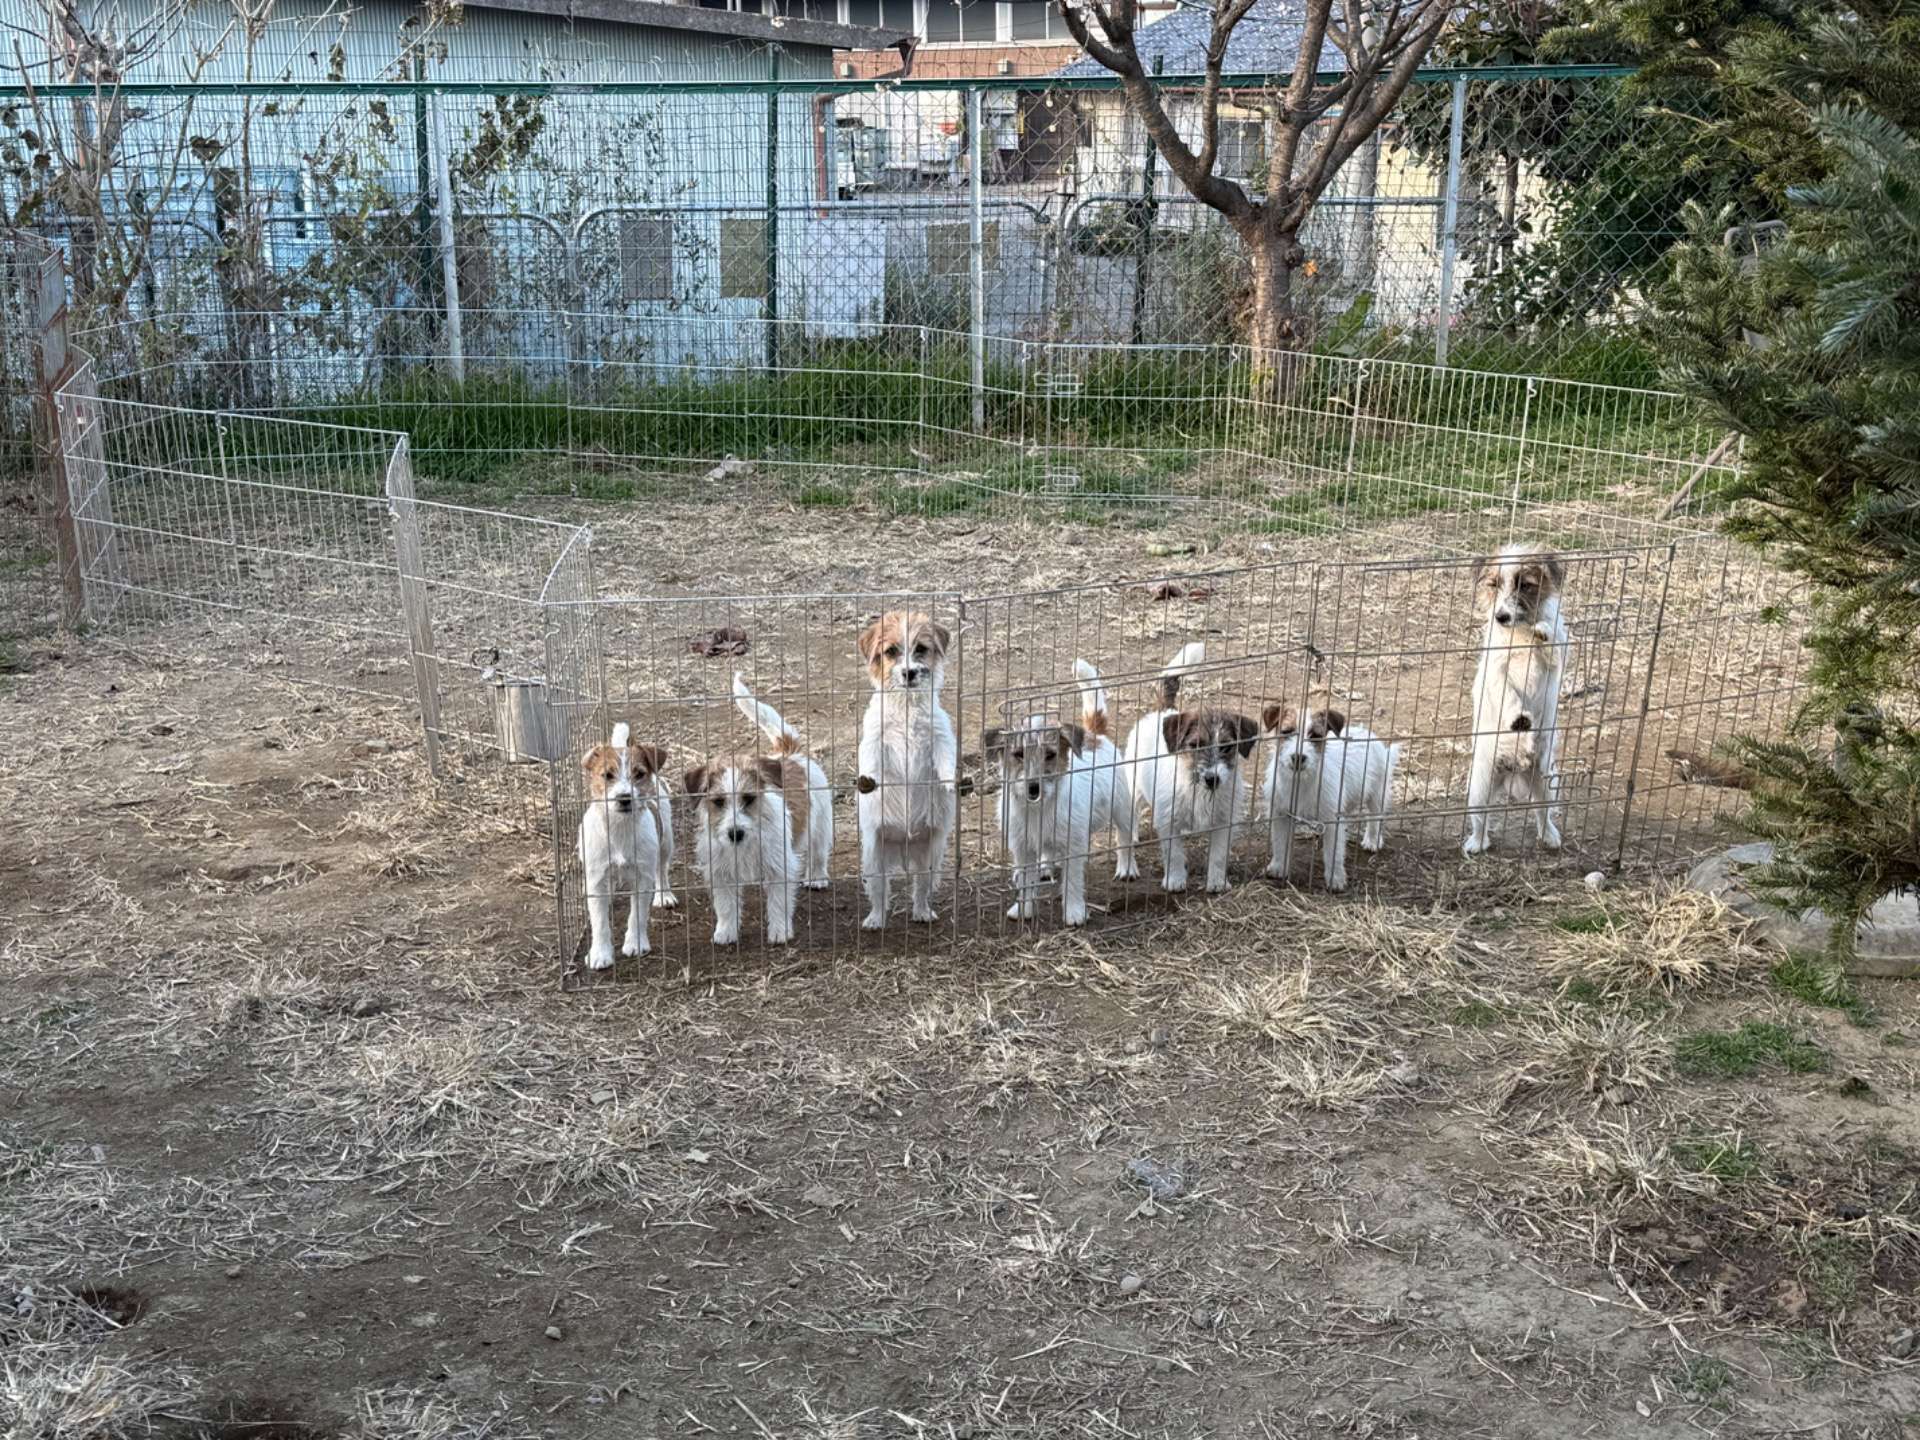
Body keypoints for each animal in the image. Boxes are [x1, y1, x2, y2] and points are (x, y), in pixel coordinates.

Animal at [576, 725, 675, 975]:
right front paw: (600, 954)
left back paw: (664, 894)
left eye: (639, 774)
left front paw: (635, 944)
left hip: (666, 842)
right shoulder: (596, 879)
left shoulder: (642, 877)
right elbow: (600, 922)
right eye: (607, 775)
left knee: (662, 869)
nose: (624, 798)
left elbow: (637, 915)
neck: (619, 828)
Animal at [860, 610, 960, 929]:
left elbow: (945, 762)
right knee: (880, 892)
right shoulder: (875, 741)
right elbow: (872, 763)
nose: (909, 673)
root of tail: (904, 844)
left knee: (921, 887)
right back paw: (875, 919)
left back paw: (921, 912)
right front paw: (867, 781)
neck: (905, 708)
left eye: (921, 649)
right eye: (891, 651)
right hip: (875, 858)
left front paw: (952, 782)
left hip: (929, 857)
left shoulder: (939, 738)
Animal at [1121, 641, 1251, 890]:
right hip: (1133, 787)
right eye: (1195, 745)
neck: (1197, 789)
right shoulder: (1168, 820)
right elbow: (1174, 853)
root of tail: (1163, 711)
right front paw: (1175, 880)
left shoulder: (1224, 822)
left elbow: (1219, 855)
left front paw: (1217, 882)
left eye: (1227, 747)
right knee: (1130, 816)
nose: (1212, 778)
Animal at [1259, 698, 1397, 890]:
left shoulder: (1333, 821)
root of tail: (1365, 731)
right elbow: (1280, 843)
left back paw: (1372, 840)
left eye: (1315, 735)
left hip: (1377, 792)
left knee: (1375, 818)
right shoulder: (1281, 815)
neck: (1300, 782)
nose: (1298, 757)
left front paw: (1335, 879)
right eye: (1286, 732)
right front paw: (1278, 867)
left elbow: (1334, 852)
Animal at [1466, 545, 1574, 856]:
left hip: (1547, 782)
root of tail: (1515, 772)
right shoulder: (1496, 670)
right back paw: (1476, 843)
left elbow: (1550, 641)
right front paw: (1519, 718)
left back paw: (1549, 835)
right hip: (1479, 786)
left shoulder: (1556, 658)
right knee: (1481, 819)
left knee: (1542, 812)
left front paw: (1543, 631)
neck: (1520, 634)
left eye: (1525, 585)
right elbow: (1508, 693)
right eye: (1494, 585)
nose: (1501, 616)